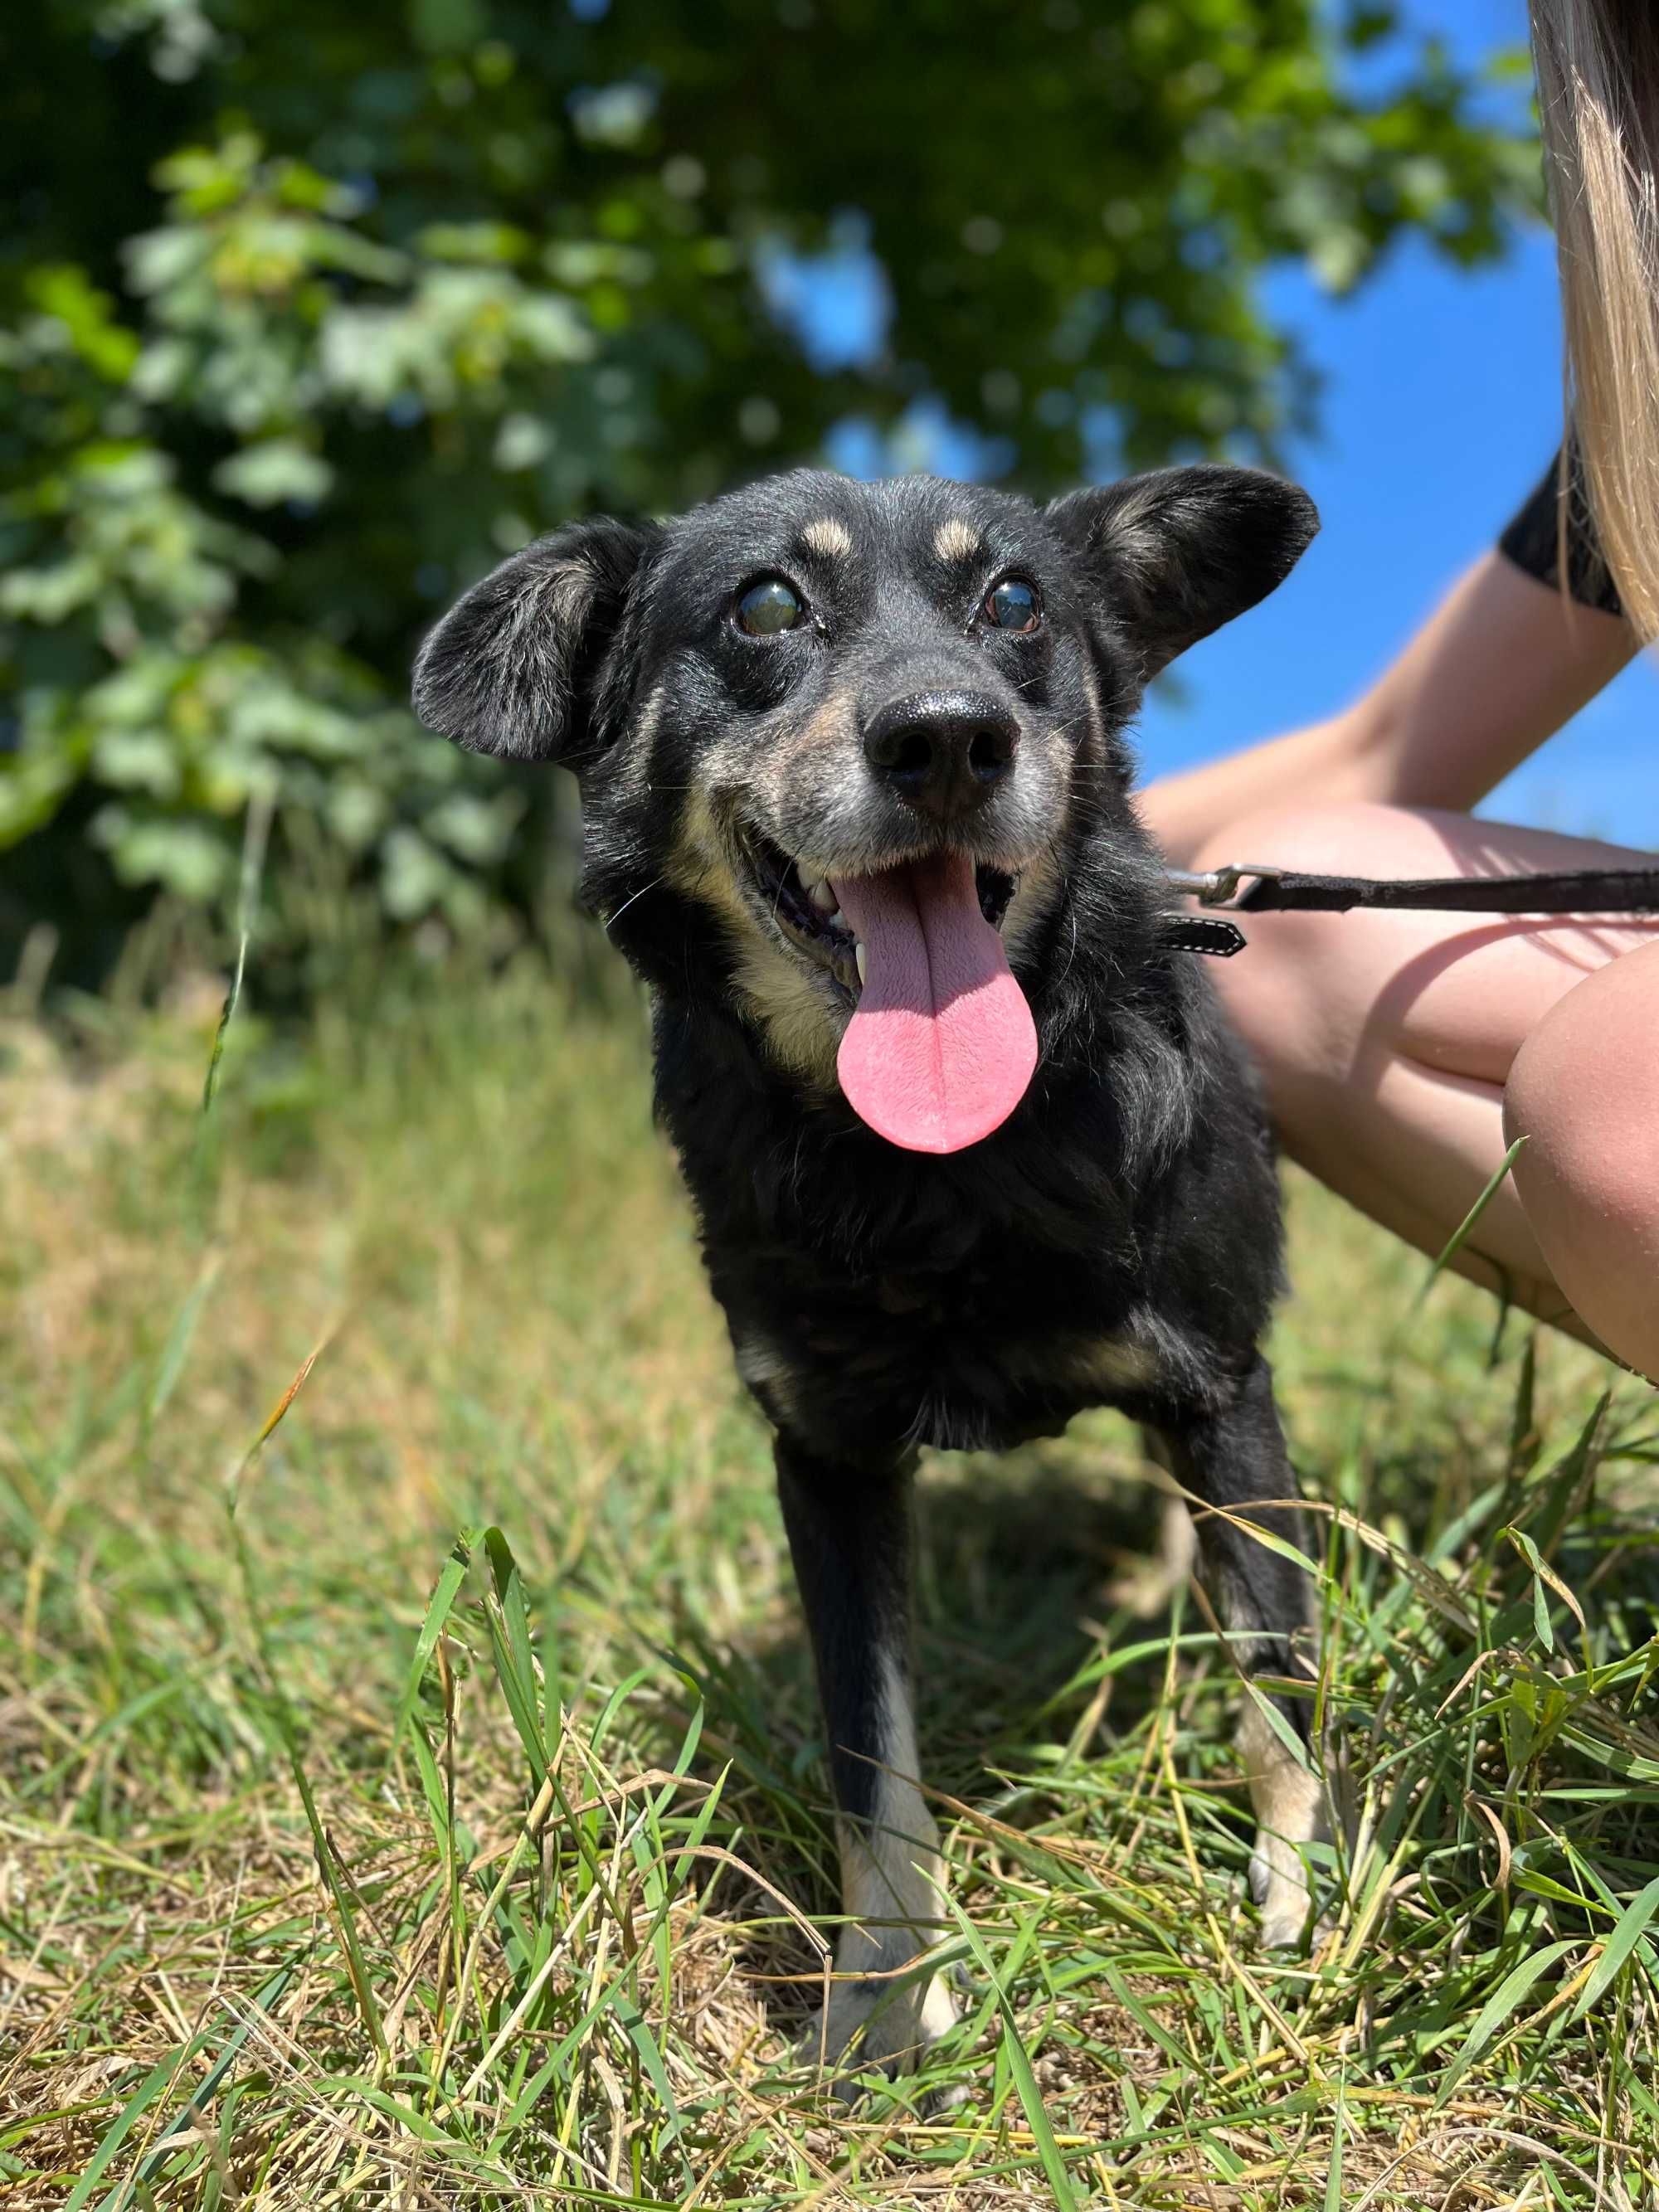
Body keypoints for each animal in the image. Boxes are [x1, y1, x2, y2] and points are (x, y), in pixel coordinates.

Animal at [413, 462, 1327, 2070]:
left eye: (1014, 599)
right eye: (766, 604)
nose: (949, 736)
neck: (939, 1166)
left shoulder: (1221, 1379)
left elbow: (1274, 1657)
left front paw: (1301, 1893)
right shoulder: (825, 1453)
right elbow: (868, 1745)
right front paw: (892, 1996)